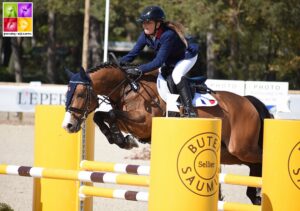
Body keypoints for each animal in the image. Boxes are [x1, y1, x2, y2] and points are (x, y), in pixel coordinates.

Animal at [62, 62, 274, 204]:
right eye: (67, 94)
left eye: (80, 94)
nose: (68, 126)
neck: (127, 88)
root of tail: (248, 101)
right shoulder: (129, 121)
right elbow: (100, 115)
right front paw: (119, 138)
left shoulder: (144, 122)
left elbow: (111, 114)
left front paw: (122, 139)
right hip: (231, 153)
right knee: (254, 164)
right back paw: (254, 195)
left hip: (241, 147)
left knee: (263, 157)